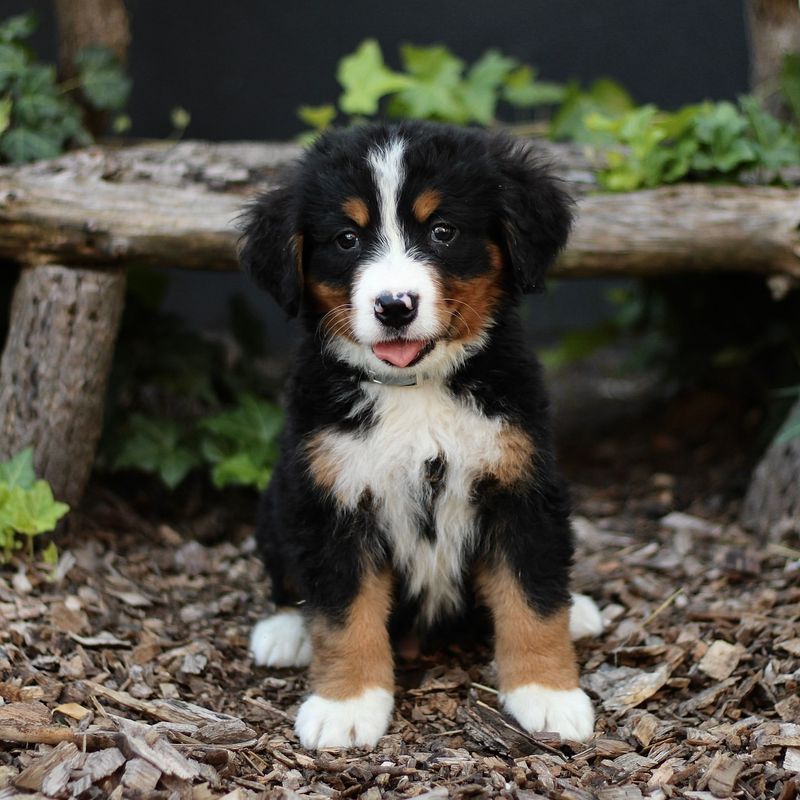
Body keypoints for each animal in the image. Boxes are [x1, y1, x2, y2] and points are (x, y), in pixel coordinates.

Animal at [241, 120, 604, 752]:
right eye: (346, 239)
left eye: (442, 231)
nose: (394, 306)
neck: (417, 391)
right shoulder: (333, 497)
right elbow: (342, 614)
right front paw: (346, 705)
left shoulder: (521, 487)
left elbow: (533, 597)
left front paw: (548, 695)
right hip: (279, 497)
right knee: (288, 579)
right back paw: (286, 631)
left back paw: (578, 608)